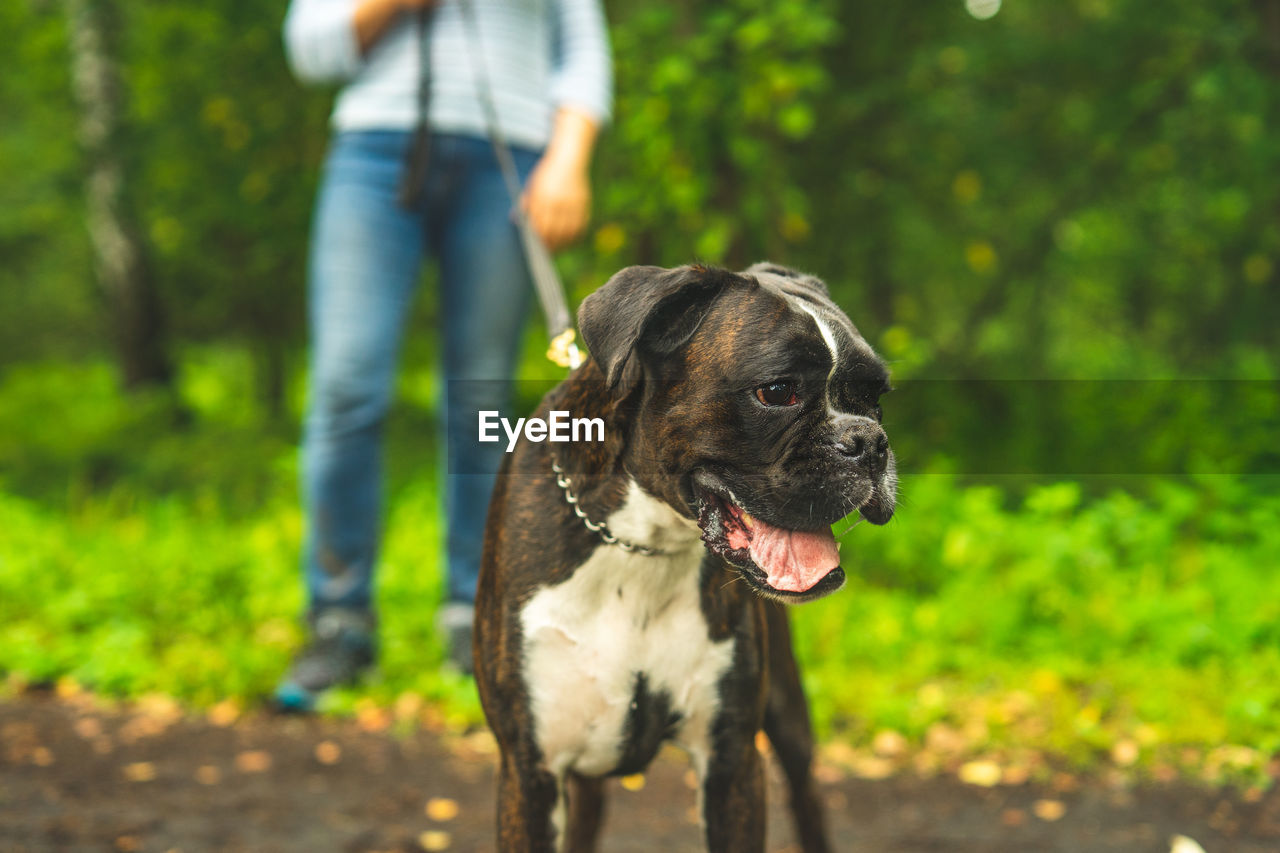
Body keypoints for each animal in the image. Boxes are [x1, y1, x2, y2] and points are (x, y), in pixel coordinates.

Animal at [473, 262, 901, 845]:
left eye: (875, 396)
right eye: (777, 391)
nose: (869, 441)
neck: (642, 547)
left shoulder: (732, 764)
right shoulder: (530, 771)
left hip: (788, 717)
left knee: (807, 796)